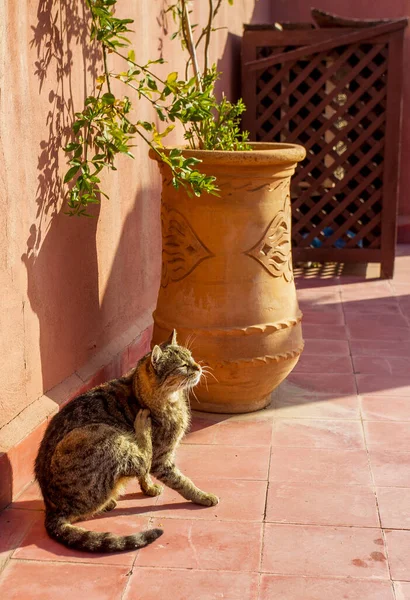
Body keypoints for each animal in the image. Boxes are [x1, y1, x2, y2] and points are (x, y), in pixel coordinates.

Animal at [35, 332, 218, 552]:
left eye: (191, 356)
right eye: (183, 365)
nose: (198, 367)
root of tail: (52, 510)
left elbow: (145, 476)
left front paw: (149, 488)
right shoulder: (162, 459)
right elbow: (181, 481)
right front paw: (203, 496)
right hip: (102, 434)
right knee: (142, 458)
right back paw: (142, 425)